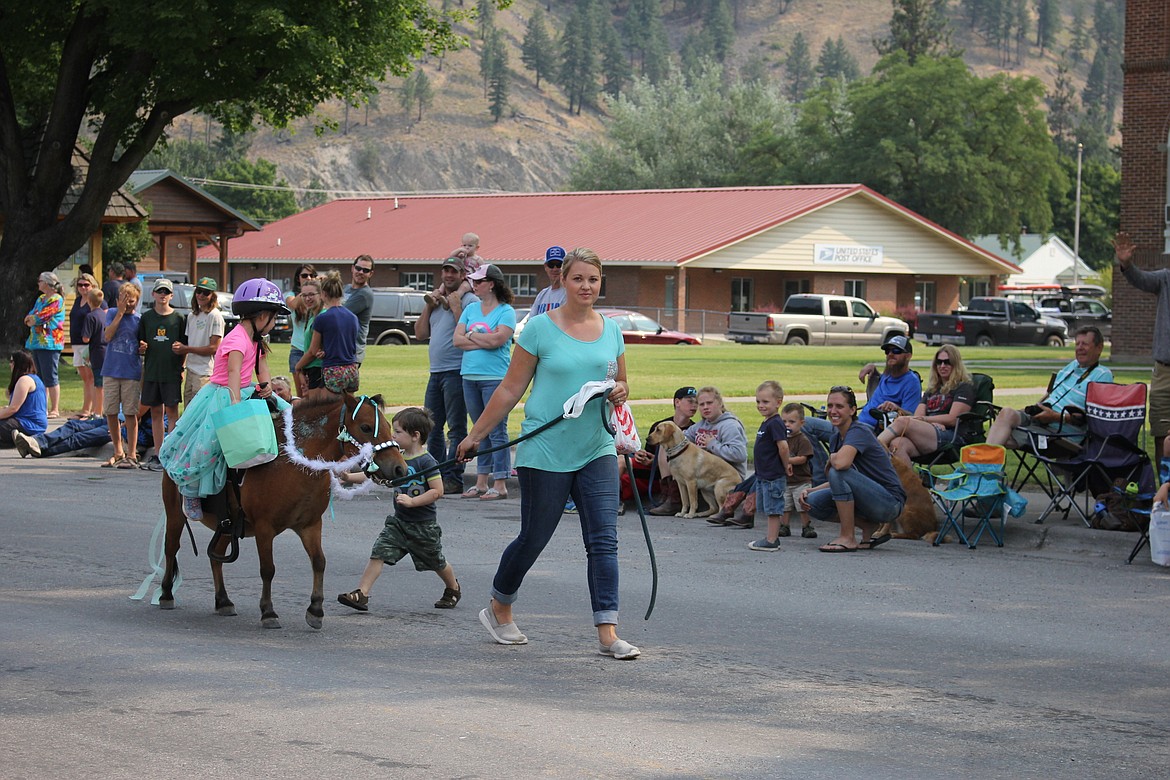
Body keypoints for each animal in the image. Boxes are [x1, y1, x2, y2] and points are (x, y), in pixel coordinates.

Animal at [160, 392, 407, 631]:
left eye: (388, 426)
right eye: (366, 427)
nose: (400, 468)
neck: (293, 466)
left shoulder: (310, 525)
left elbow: (319, 562)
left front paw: (315, 610)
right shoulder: (264, 528)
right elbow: (268, 569)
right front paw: (268, 612)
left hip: (227, 526)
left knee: (216, 557)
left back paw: (223, 601)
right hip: (174, 514)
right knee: (171, 548)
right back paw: (166, 594)